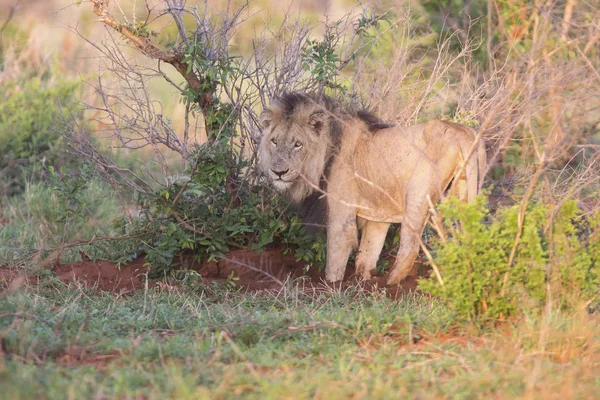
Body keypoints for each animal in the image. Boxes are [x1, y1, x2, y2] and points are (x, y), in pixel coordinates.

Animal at [255, 92, 486, 284]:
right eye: (274, 141)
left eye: (298, 144)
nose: (278, 172)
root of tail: (463, 133)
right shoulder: (378, 215)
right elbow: (366, 255)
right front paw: (362, 284)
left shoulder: (341, 214)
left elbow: (335, 259)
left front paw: (332, 287)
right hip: (465, 191)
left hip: (418, 193)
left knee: (410, 247)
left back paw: (389, 286)